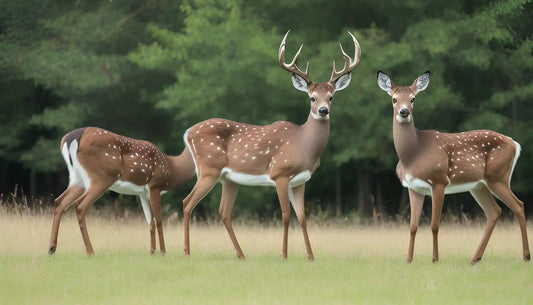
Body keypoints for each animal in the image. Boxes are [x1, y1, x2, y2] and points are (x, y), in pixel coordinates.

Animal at [48, 126, 195, 254]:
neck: (172, 169)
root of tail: (71, 138)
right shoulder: (155, 185)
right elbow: (158, 220)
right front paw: (163, 253)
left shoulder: (143, 193)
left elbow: (150, 222)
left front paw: (152, 253)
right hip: (102, 176)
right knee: (80, 205)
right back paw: (90, 251)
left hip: (77, 178)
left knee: (59, 201)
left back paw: (52, 249)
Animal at [181, 30, 360, 258]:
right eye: (312, 98)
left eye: (331, 97)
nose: (323, 110)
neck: (303, 144)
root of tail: (188, 133)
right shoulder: (280, 173)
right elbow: (285, 215)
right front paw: (284, 254)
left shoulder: (301, 181)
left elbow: (303, 218)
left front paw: (311, 256)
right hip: (208, 168)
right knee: (187, 203)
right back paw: (187, 251)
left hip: (229, 179)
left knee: (224, 212)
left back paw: (241, 255)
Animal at [376, 70, 528, 262]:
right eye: (394, 99)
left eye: (413, 99)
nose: (404, 112)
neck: (412, 156)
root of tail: (515, 144)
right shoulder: (413, 187)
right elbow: (413, 226)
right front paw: (409, 260)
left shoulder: (439, 181)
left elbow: (434, 225)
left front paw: (435, 259)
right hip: (479, 185)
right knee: (495, 211)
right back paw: (475, 259)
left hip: (498, 177)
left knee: (518, 205)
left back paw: (526, 256)